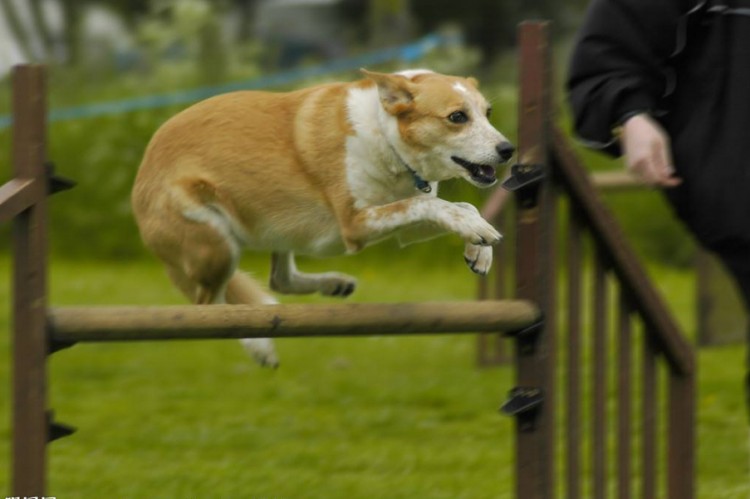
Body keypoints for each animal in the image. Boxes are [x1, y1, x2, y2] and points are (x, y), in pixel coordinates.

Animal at [132, 68, 516, 368]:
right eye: (457, 117)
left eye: (488, 112)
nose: (508, 149)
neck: (385, 135)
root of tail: (139, 179)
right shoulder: (356, 224)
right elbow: (433, 206)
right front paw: (476, 233)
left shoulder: (404, 224)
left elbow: (459, 207)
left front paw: (479, 247)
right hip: (216, 244)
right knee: (210, 307)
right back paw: (259, 346)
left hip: (277, 228)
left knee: (278, 280)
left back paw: (333, 283)